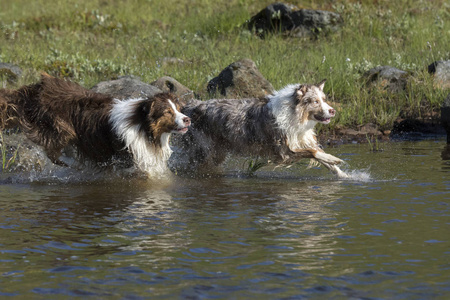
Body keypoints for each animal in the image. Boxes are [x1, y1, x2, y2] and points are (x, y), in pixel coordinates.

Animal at [0, 75, 191, 177]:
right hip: (61, 130)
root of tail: (38, 87)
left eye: (178, 109)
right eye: (167, 112)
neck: (144, 128)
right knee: (53, 154)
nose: (188, 119)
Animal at [172, 79, 348, 178]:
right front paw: (334, 158)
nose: (333, 111)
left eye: (324, 99)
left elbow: (321, 157)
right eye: (315, 102)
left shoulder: (300, 140)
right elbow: (314, 152)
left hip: (216, 152)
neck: (296, 114)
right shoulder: (284, 151)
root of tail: (190, 105)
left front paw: (345, 176)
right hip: (203, 150)